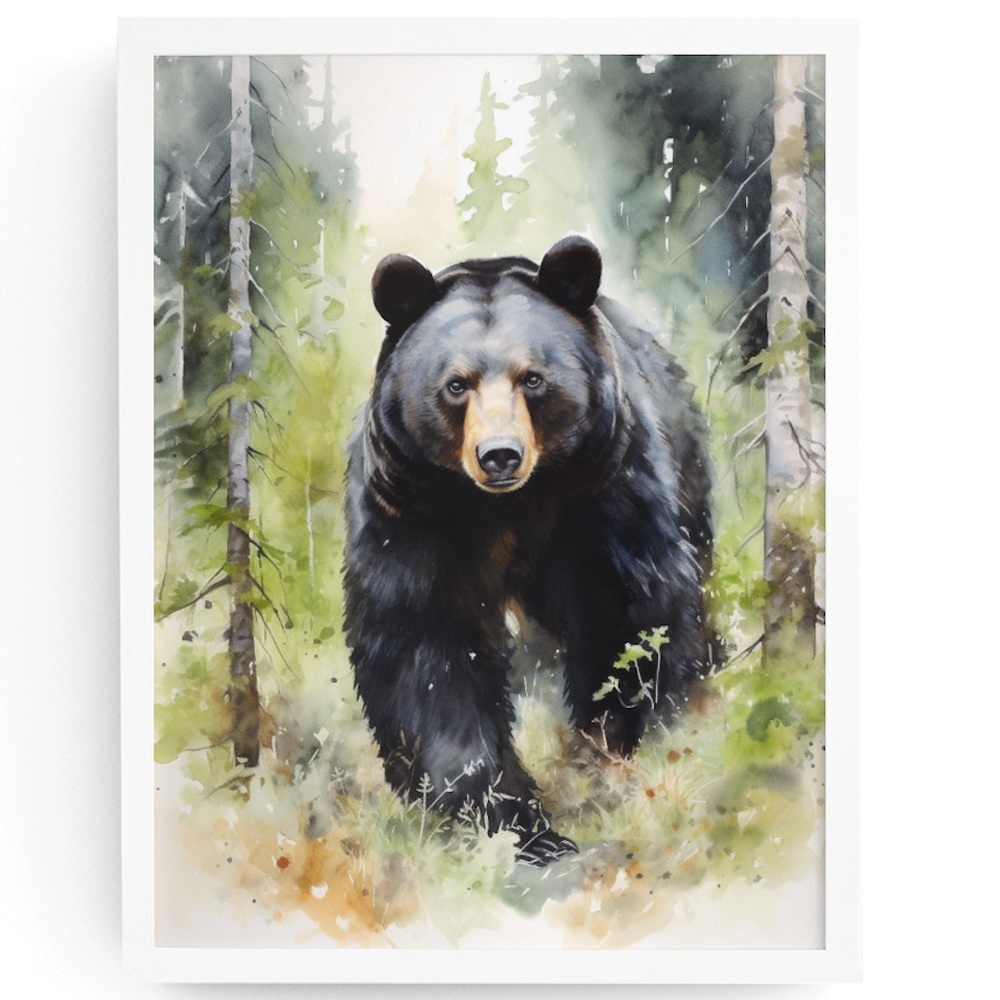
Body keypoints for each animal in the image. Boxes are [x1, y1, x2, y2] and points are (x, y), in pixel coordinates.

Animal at [343, 235, 716, 867]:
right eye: (457, 384)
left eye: (533, 378)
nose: (500, 455)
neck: (507, 508)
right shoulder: (411, 512)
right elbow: (425, 649)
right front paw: (512, 820)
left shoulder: (602, 494)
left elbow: (629, 618)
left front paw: (616, 745)